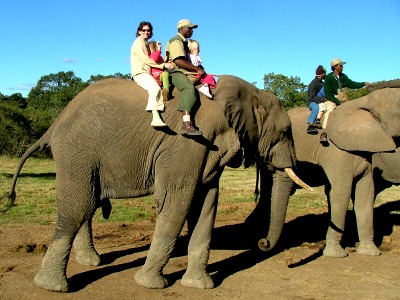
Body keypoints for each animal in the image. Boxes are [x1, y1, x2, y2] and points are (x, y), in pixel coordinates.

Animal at [0, 75, 310, 292]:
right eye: (285, 132)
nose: (262, 243)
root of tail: (55, 122)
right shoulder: (187, 143)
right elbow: (176, 202)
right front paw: (150, 284)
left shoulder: (206, 152)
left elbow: (206, 206)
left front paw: (200, 286)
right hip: (77, 150)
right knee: (78, 207)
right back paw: (52, 286)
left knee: (86, 204)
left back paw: (91, 262)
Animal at [253, 86, 400, 258]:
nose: (263, 243)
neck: (363, 103)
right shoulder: (336, 151)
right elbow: (341, 192)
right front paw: (336, 254)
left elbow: (366, 192)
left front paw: (370, 252)